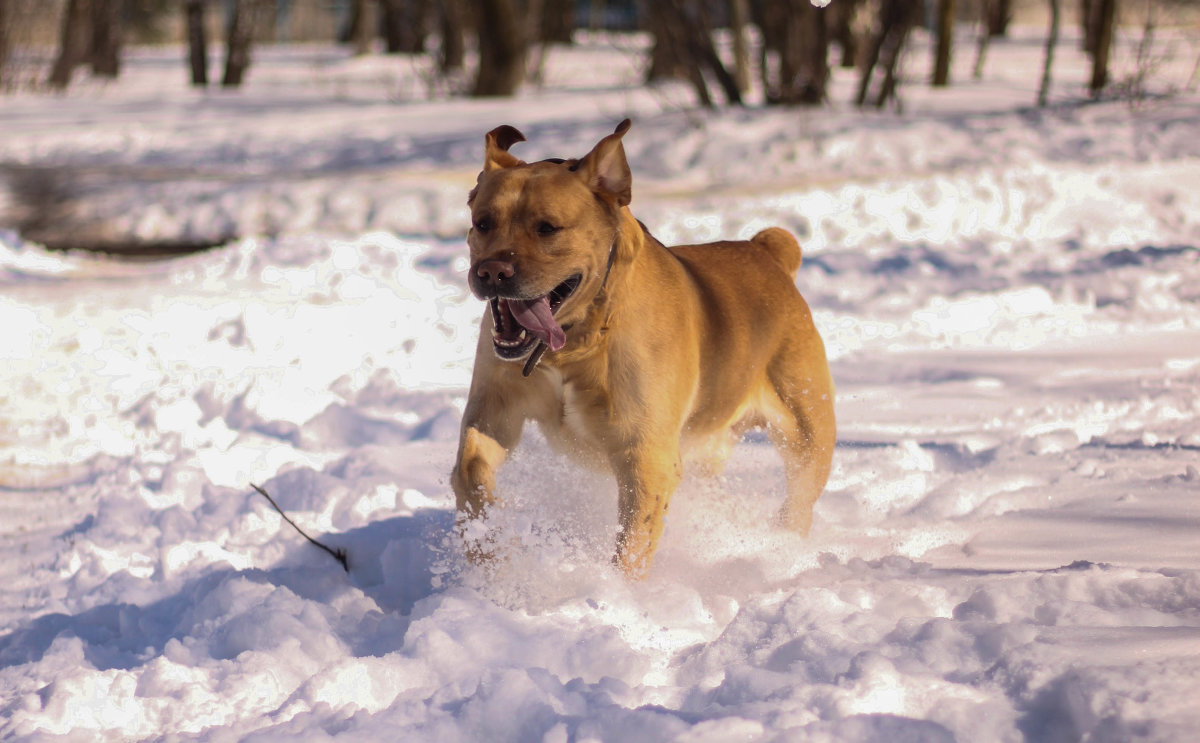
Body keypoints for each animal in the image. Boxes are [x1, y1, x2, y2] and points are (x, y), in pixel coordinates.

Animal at [451, 119, 835, 578]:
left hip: (807, 430)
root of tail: (767, 251)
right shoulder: (494, 410)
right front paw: (487, 548)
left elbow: (632, 543)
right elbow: (471, 471)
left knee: (801, 495)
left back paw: (784, 546)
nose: (491, 271)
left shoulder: (646, 453)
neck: (578, 341)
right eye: (483, 222)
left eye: (547, 227)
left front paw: (618, 591)